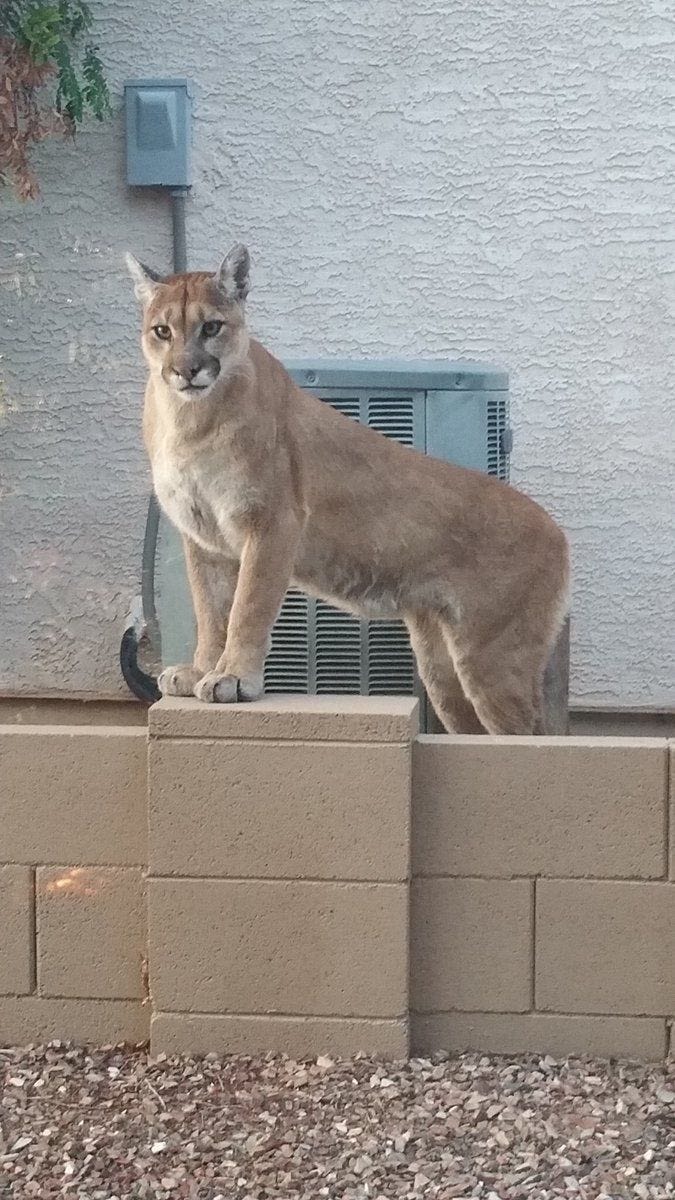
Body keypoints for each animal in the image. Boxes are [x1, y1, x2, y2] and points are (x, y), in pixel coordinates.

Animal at [126, 244, 566, 734]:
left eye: (211, 327)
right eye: (162, 331)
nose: (186, 371)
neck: (188, 419)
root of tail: (555, 527)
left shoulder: (271, 523)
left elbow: (247, 607)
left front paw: (234, 678)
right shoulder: (204, 539)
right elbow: (210, 611)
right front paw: (201, 670)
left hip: (494, 658)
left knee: (532, 738)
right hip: (444, 671)